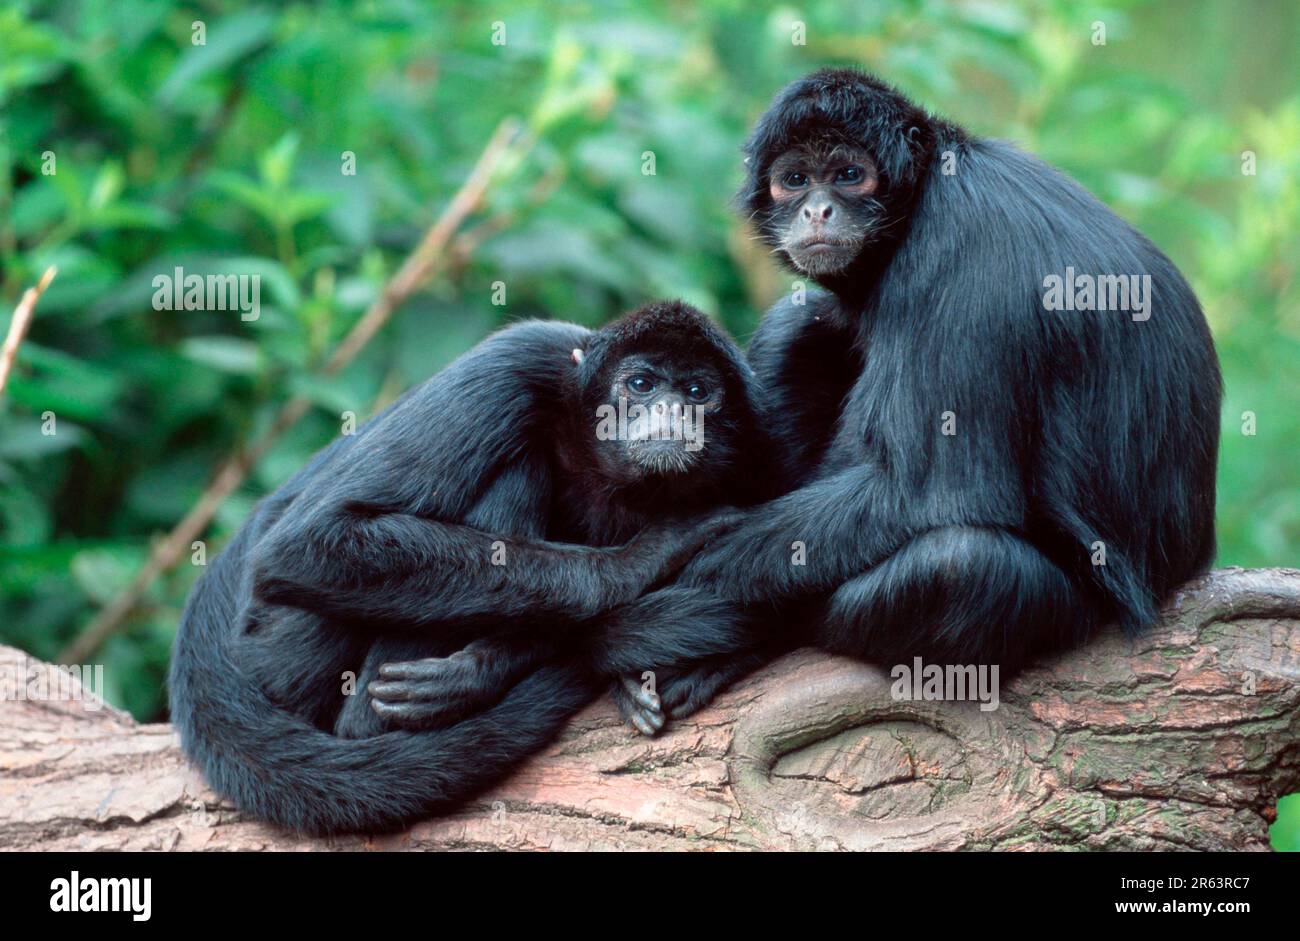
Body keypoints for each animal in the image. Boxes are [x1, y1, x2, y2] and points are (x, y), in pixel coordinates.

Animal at [169, 300, 778, 833]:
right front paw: (648, 555)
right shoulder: (516, 361)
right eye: (642, 385)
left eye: (698, 392)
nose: (676, 412)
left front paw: (483, 669)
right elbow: (309, 543)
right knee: (516, 468)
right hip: (281, 647)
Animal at [608, 68, 1221, 734]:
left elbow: (930, 493)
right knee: (804, 321)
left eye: (849, 174)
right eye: (795, 180)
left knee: (959, 562)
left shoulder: (958, 252)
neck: (933, 185)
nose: (817, 208)